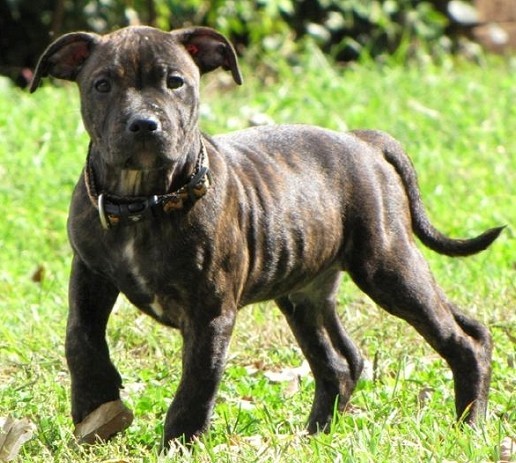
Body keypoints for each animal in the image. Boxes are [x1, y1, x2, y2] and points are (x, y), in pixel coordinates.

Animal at [30, 26, 502, 450]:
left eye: (175, 82)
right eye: (102, 85)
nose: (144, 124)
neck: (145, 198)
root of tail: (362, 141)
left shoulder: (211, 315)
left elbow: (196, 386)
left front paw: (177, 444)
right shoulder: (90, 275)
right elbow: (81, 340)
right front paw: (95, 408)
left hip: (388, 266)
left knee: (463, 340)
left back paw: (468, 425)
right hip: (305, 293)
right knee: (340, 364)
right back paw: (313, 438)